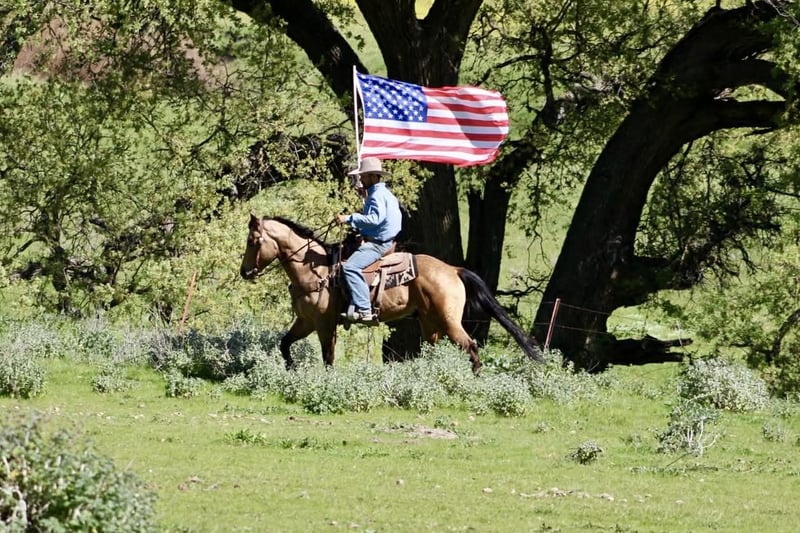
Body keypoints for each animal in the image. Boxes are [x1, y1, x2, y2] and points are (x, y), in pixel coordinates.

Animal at [239, 214, 543, 373]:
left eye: (253, 241)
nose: (245, 271)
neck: (315, 270)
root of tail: (453, 269)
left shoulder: (325, 324)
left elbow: (328, 358)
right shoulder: (305, 322)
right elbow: (284, 344)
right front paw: (291, 369)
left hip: (450, 322)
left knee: (471, 347)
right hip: (430, 324)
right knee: (434, 351)